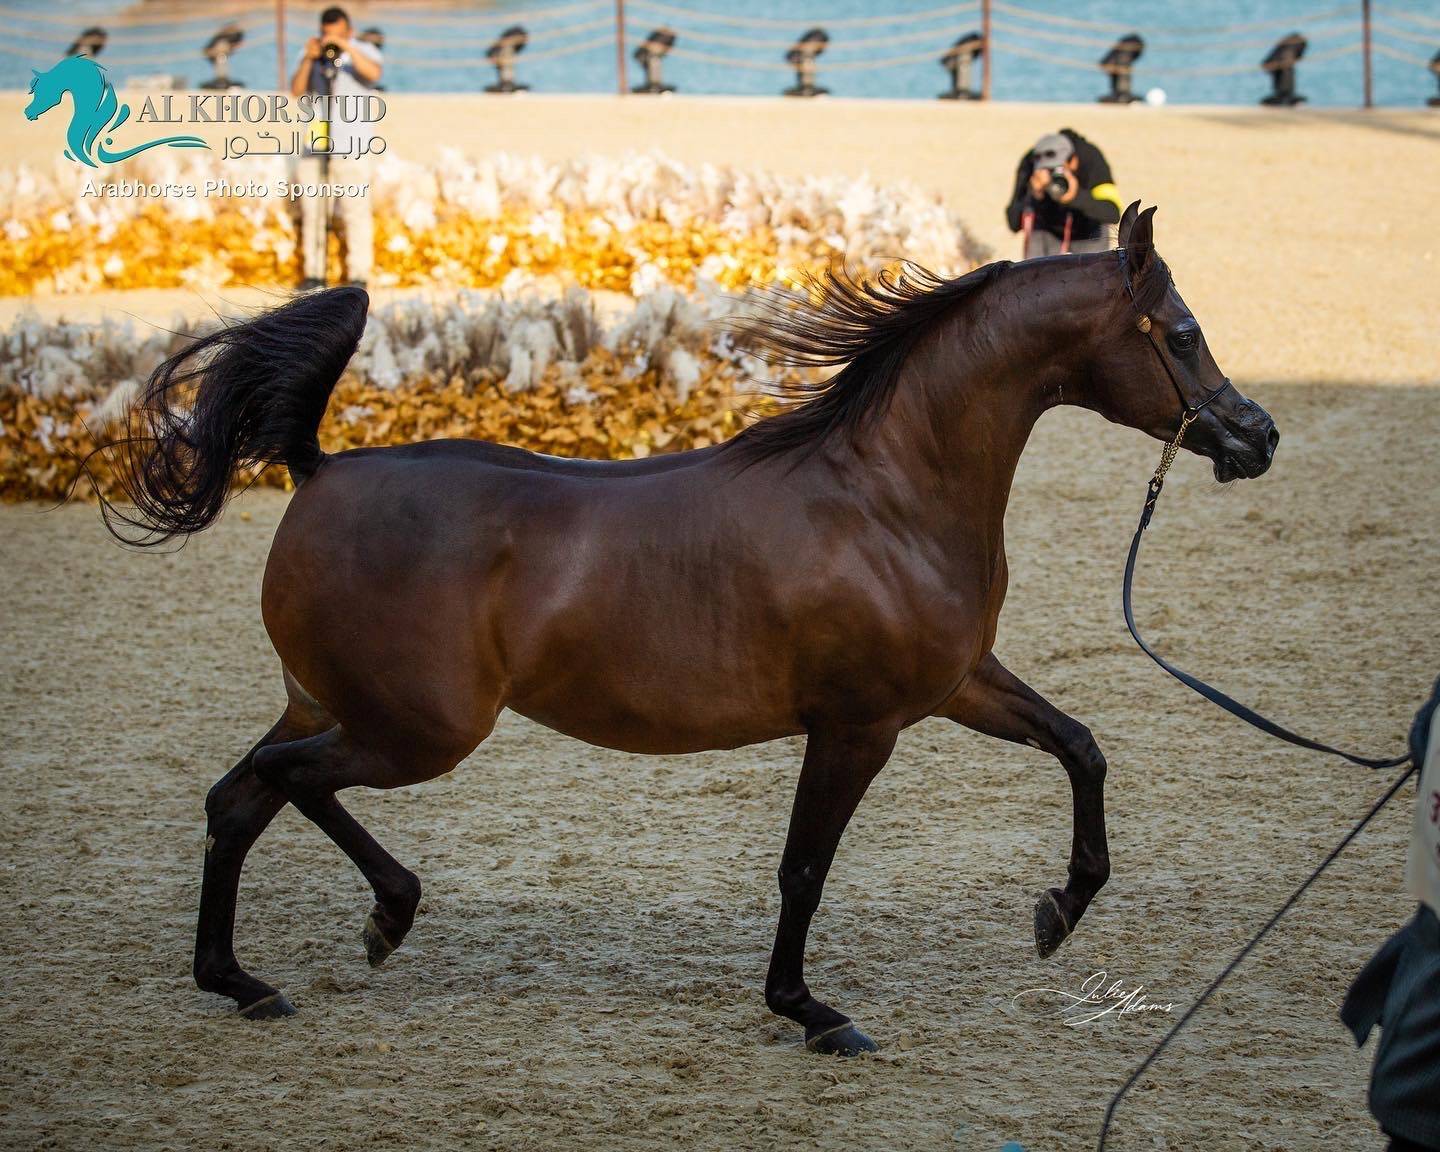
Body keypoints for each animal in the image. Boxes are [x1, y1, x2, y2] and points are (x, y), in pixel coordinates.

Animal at [96, 203, 1277, 1056]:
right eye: (1182, 333)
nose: (1257, 436)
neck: (887, 495)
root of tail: (320, 466)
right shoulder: (860, 727)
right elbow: (804, 868)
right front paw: (811, 1012)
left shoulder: (957, 686)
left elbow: (1081, 745)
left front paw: (1060, 910)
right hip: (415, 733)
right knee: (286, 783)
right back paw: (385, 918)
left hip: (331, 703)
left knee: (239, 798)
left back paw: (242, 983)